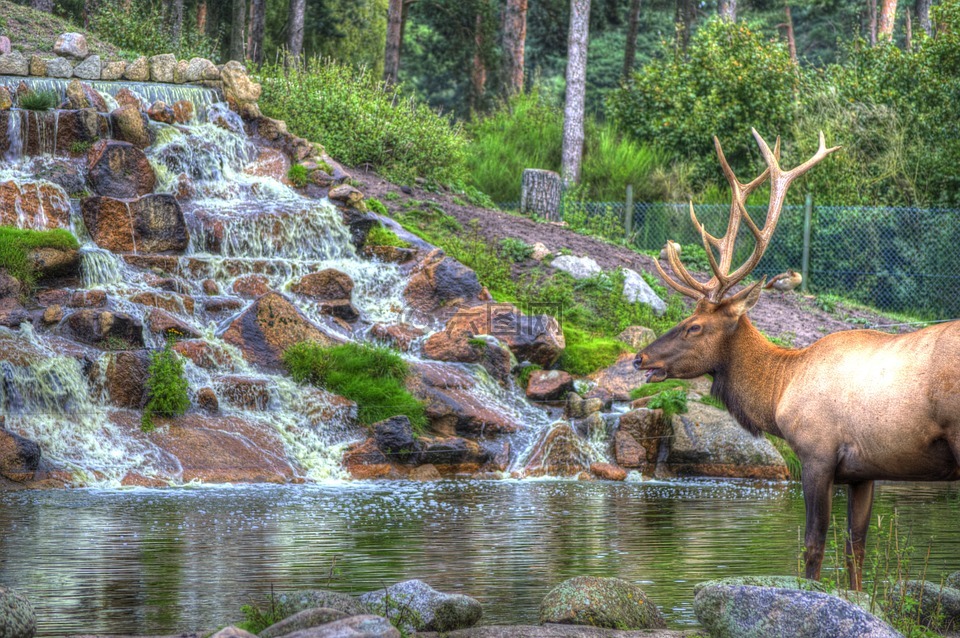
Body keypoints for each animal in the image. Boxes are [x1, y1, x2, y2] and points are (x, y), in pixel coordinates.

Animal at [634, 129, 960, 592]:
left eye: (693, 326)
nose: (640, 358)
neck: (779, 392)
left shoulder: (816, 453)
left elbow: (813, 547)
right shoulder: (864, 470)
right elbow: (856, 553)